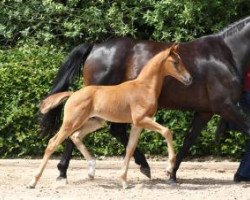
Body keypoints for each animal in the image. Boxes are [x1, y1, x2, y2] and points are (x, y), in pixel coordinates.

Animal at [29, 44, 192, 189]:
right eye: (175, 62)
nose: (189, 79)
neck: (144, 87)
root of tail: (73, 93)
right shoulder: (141, 119)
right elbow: (167, 131)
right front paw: (169, 168)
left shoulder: (137, 124)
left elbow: (130, 148)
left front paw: (124, 182)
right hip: (72, 122)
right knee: (53, 143)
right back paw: (33, 182)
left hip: (95, 122)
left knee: (76, 136)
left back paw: (92, 169)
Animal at [41, 16, 250, 183]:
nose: (188, 79)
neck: (226, 54)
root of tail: (96, 47)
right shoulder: (226, 106)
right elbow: (248, 130)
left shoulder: (205, 111)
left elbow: (189, 139)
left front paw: (172, 174)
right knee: (78, 130)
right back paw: (63, 172)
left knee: (109, 131)